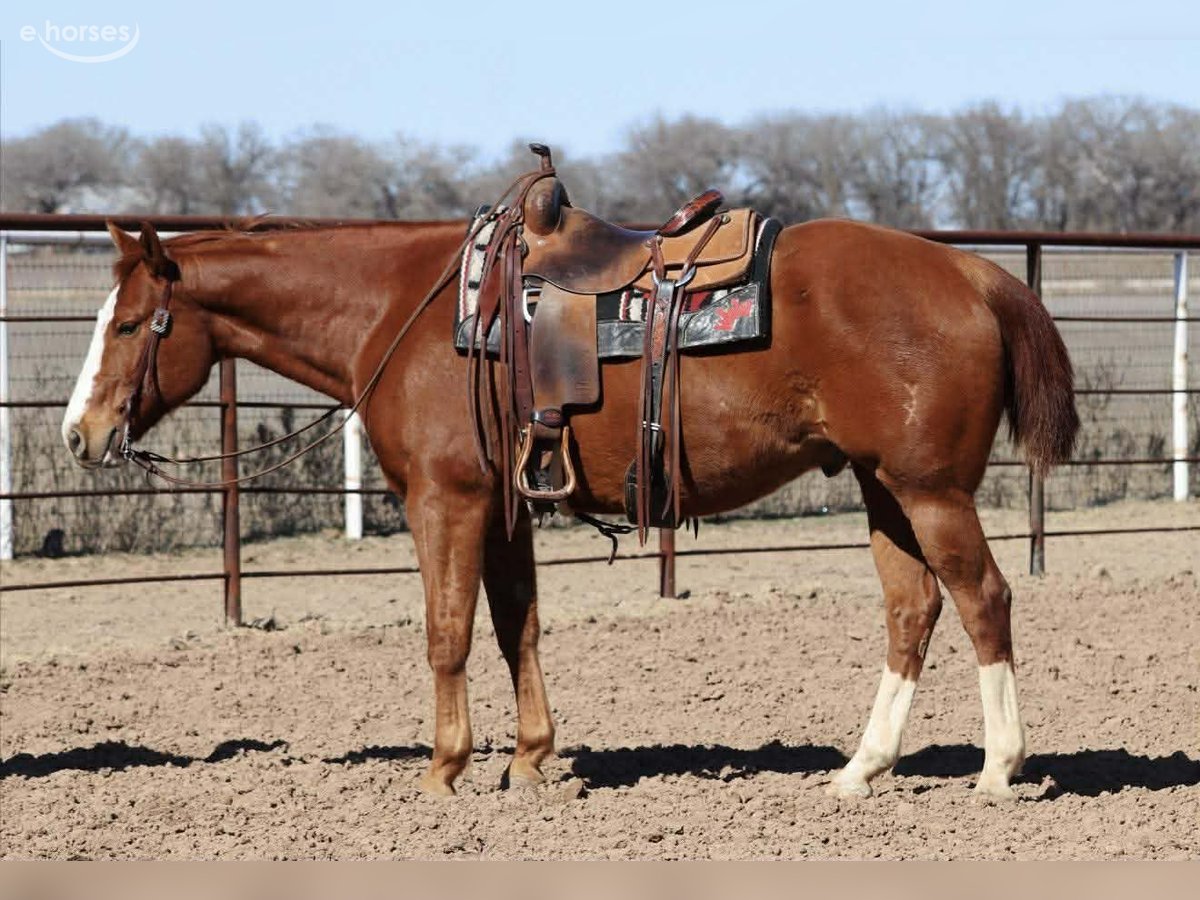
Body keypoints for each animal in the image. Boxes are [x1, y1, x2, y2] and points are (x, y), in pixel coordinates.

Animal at [62, 204, 1078, 800]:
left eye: (128, 323)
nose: (79, 434)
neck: (407, 309)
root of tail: (975, 274)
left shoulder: (445, 502)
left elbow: (448, 632)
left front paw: (444, 771)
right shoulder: (503, 506)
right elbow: (520, 627)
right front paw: (530, 759)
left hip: (929, 491)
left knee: (983, 600)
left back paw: (998, 769)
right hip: (882, 489)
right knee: (913, 611)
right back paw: (859, 770)